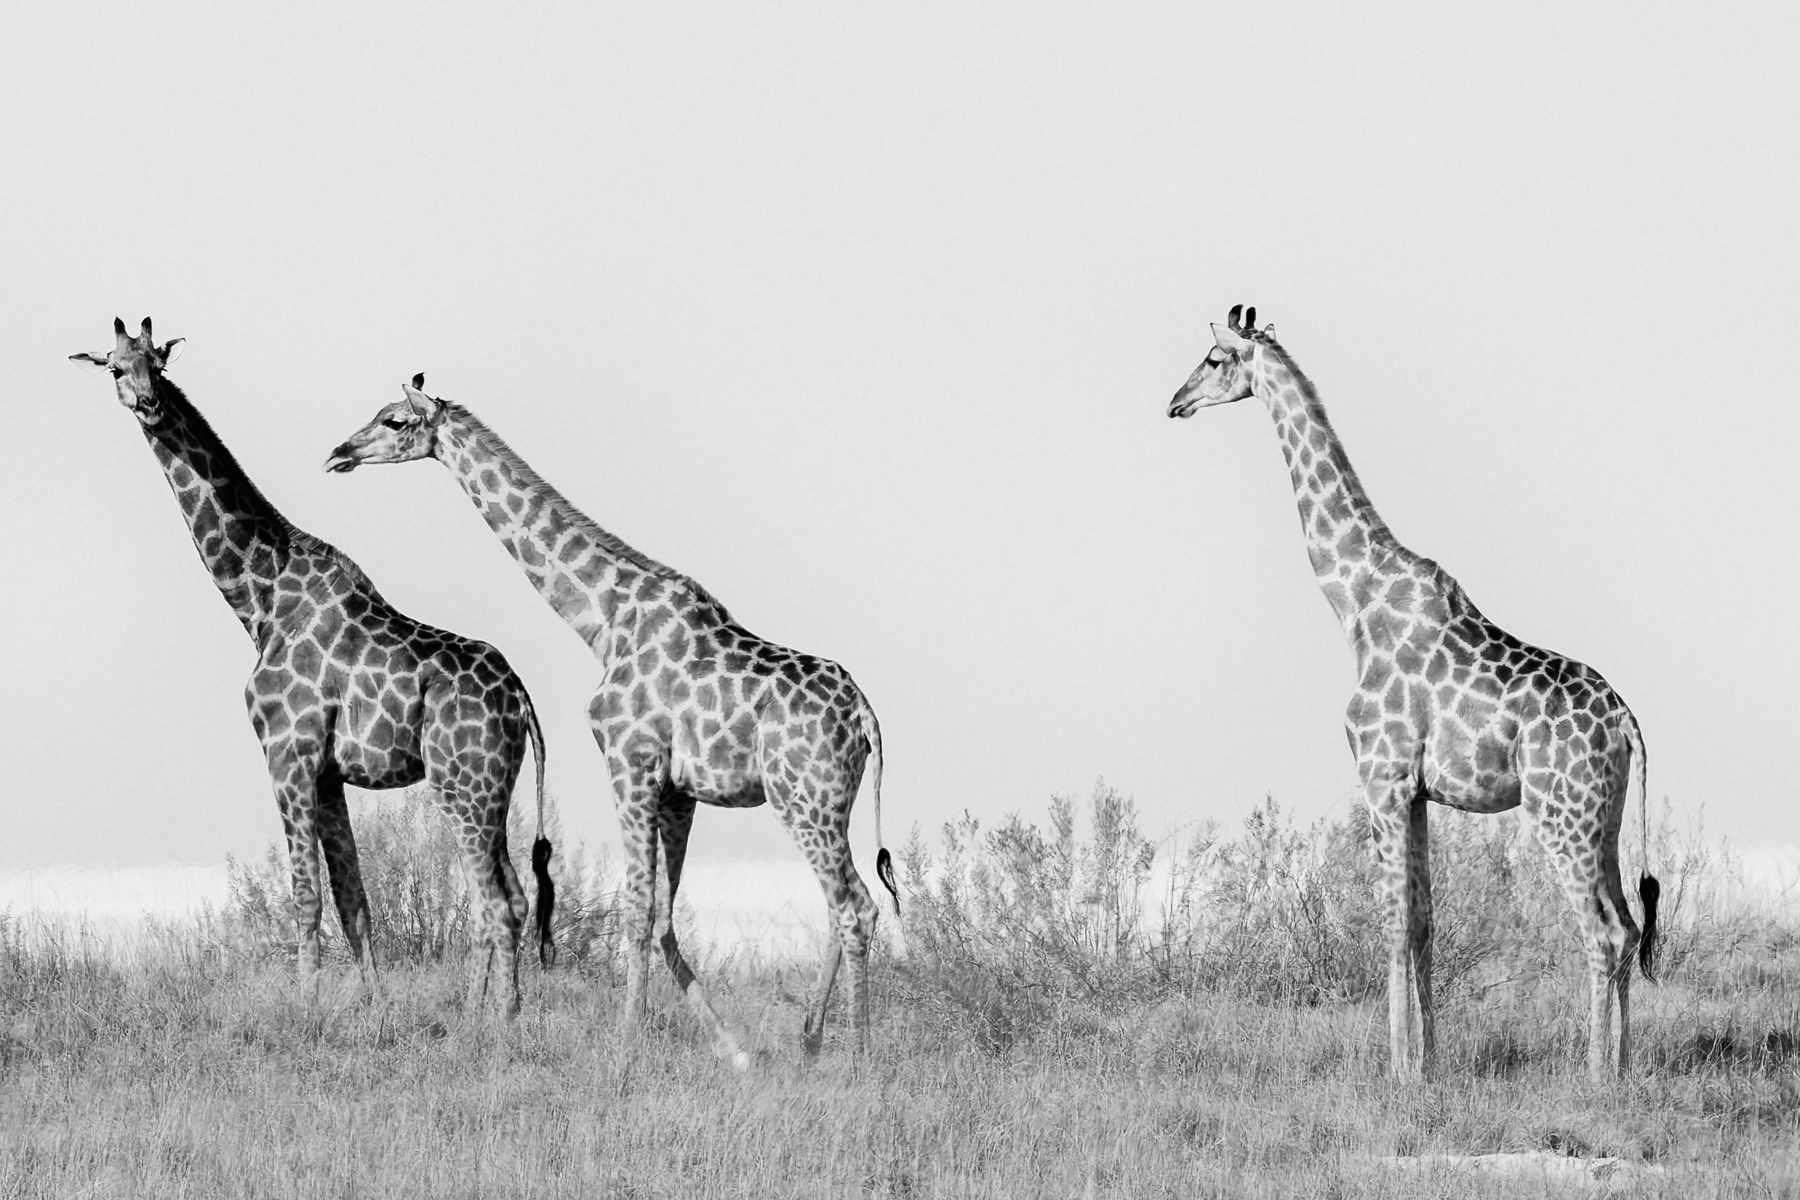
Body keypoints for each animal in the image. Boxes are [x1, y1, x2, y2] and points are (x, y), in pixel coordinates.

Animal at [72, 320, 555, 1015]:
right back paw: (494, 1014)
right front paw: (372, 1008)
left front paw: (306, 1011)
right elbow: (354, 900)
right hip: (493, 789)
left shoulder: (287, 753)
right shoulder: (328, 774)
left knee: (493, 903)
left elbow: (306, 897)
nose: (147, 402)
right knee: (512, 896)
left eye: (156, 364)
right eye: (115, 367)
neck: (260, 600)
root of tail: (521, 698)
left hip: (462, 785)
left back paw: (490, 1020)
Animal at [324, 375, 900, 1068]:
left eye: (395, 419)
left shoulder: (630, 762)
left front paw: (624, 1049)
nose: (340, 452)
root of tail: (865, 715)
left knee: (855, 906)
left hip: (803, 797)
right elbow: (662, 913)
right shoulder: (679, 791)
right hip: (828, 801)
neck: (602, 618)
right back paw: (809, 1039)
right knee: (842, 902)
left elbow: (634, 908)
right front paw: (730, 1050)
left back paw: (857, 1053)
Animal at [1168, 306, 1660, 1082]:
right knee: (1632, 926)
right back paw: (1624, 1066)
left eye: (1215, 358)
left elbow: (1393, 922)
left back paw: (1594, 1076)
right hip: (1603, 818)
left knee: (1605, 932)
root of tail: (1628, 721)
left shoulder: (1383, 776)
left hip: (1560, 813)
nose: (1175, 401)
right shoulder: (1420, 792)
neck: (1353, 601)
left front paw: (1397, 1070)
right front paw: (1427, 1064)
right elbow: (1424, 922)